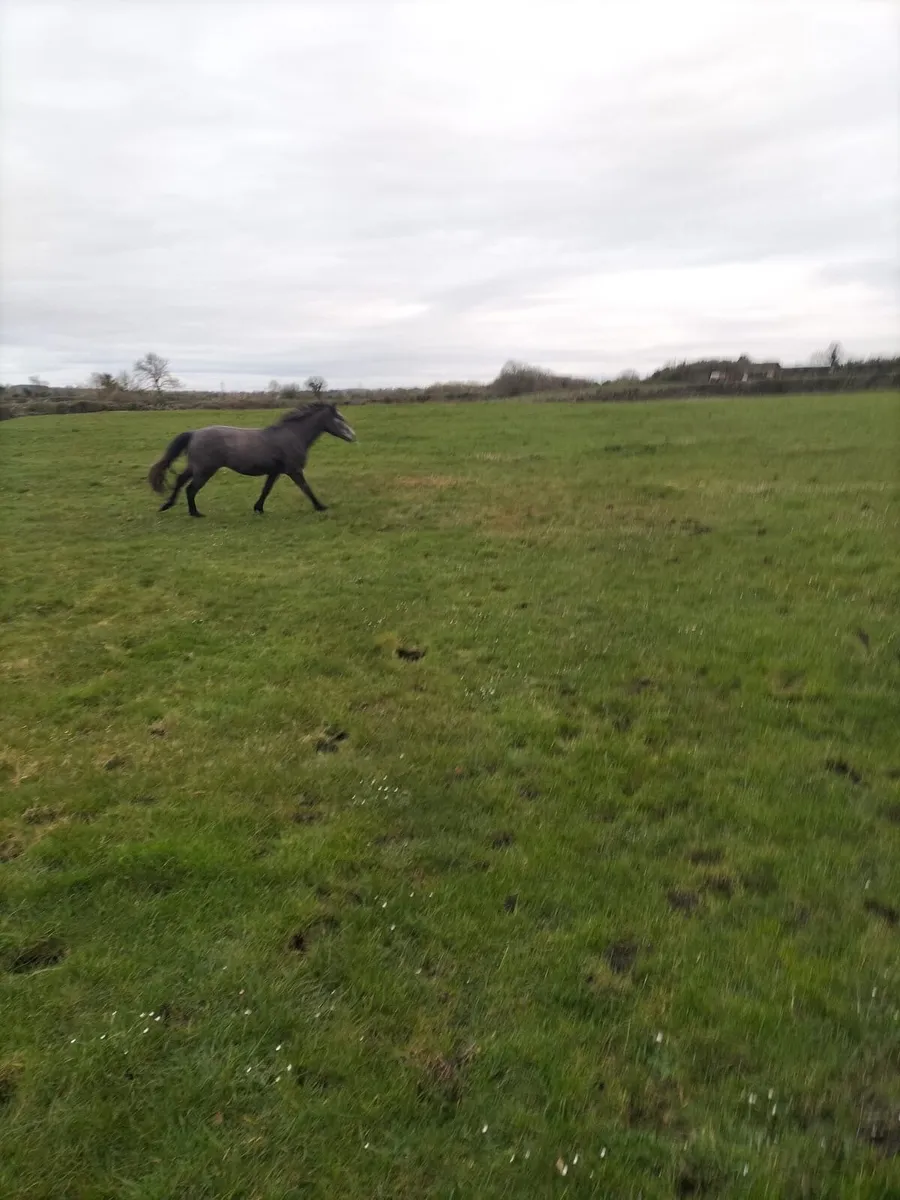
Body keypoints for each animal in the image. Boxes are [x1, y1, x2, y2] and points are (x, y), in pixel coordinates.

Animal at [147, 401, 356, 517]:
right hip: (205, 470)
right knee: (191, 488)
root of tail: (194, 433)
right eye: (339, 419)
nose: (353, 436)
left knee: (180, 480)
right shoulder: (293, 470)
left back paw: (167, 505)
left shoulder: (275, 472)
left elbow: (266, 490)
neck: (293, 435)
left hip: (196, 467)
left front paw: (258, 509)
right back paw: (195, 513)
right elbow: (306, 488)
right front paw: (320, 507)